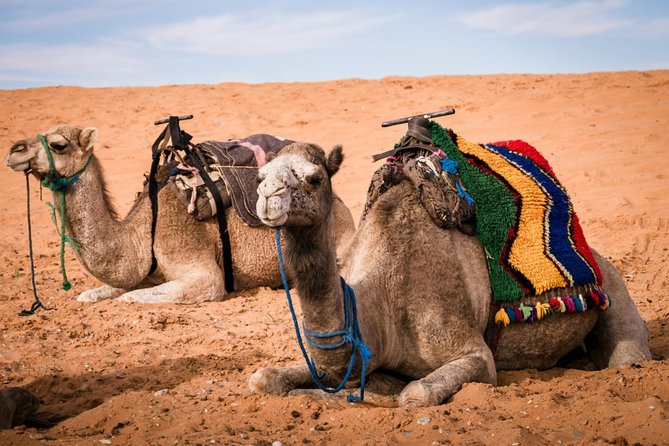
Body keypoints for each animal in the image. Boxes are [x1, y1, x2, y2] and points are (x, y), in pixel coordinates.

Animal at [4, 125, 355, 304]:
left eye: (58, 144)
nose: (13, 150)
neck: (142, 232)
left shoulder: (199, 268)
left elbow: (128, 299)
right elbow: (94, 294)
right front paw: (93, 294)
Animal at [249, 138, 651, 407]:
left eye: (314, 178)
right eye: (259, 177)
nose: (268, 196)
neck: (379, 306)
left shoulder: (475, 356)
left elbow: (414, 394)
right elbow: (263, 379)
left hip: (616, 288)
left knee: (628, 357)